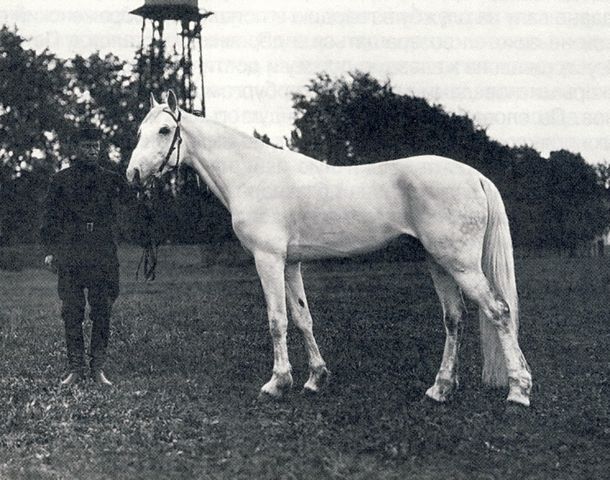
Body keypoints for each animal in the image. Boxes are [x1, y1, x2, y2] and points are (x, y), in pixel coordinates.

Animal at [126, 90, 528, 404]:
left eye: (165, 130)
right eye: (140, 131)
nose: (133, 174)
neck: (254, 175)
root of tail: (474, 176)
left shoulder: (268, 259)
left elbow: (277, 320)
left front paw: (277, 383)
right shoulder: (290, 263)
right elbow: (303, 318)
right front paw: (316, 378)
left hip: (460, 264)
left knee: (499, 311)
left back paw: (518, 391)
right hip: (439, 262)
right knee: (454, 319)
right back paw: (441, 388)